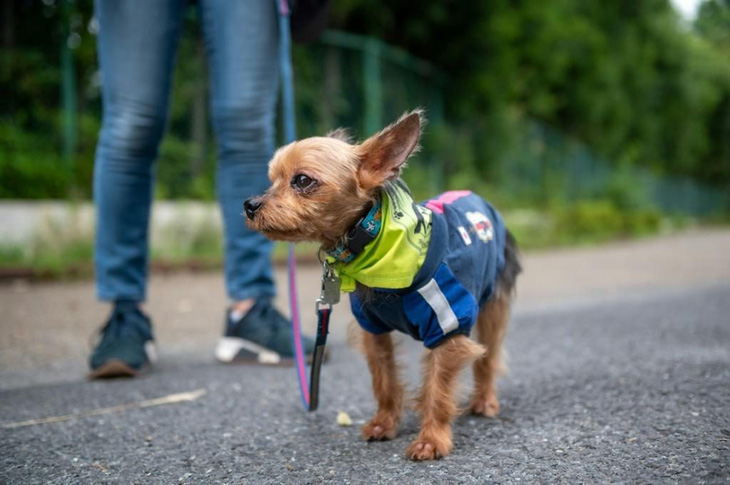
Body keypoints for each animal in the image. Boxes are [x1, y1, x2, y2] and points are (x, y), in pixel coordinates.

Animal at [245, 110, 516, 462]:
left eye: (302, 180)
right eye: (272, 179)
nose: (250, 204)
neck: (376, 239)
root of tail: (476, 196)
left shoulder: (448, 325)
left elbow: (438, 388)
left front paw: (431, 440)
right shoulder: (373, 330)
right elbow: (384, 380)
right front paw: (384, 424)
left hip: (492, 302)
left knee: (489, 355)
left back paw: (484, 401)